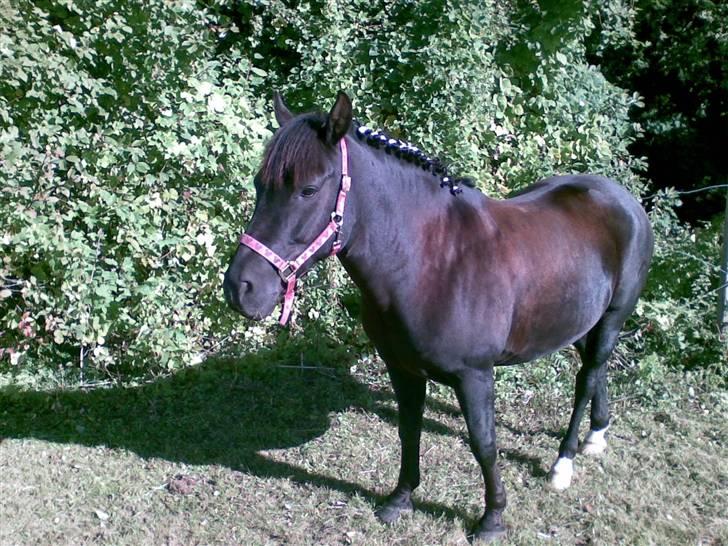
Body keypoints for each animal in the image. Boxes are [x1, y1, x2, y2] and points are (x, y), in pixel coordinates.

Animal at [222, 92, 654, 542]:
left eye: (307, 190)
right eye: (259, 185)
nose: (241, 287)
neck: (432, 262)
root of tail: (621, 197)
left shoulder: (474, 375)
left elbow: (484, 443)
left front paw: (492, 518)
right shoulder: (402, 368)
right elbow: (409, 429)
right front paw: (400, 499)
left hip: (613, 317)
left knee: (587, 378)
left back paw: (563, 463)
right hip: (581, 320)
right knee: (596, 371)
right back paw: (596, 435)